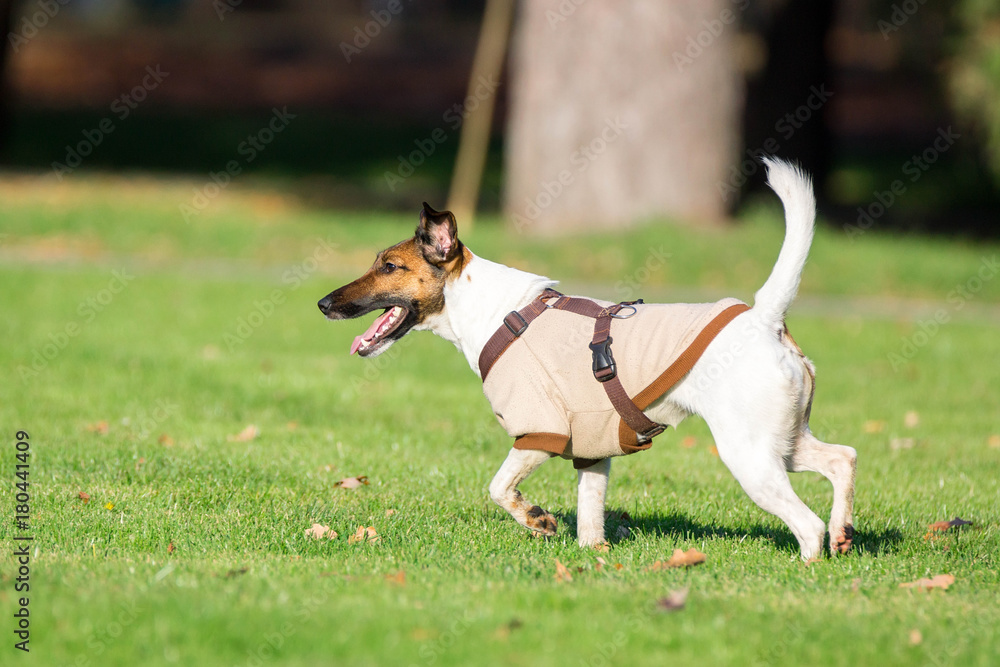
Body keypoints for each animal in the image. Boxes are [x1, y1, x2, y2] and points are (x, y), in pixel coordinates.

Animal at [320, 159, 860, 560]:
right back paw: (843, 533)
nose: (323, 304)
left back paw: (812, 565)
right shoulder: (594, 451)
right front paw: (593, 556)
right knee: (843, 459)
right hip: (783, 443)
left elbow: (499, 488)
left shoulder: (538, 431)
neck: (492, 310)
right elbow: (591, 520)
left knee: (807, 524)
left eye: (390, 267)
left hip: (749, 455)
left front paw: (536, 519)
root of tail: (765, 319)